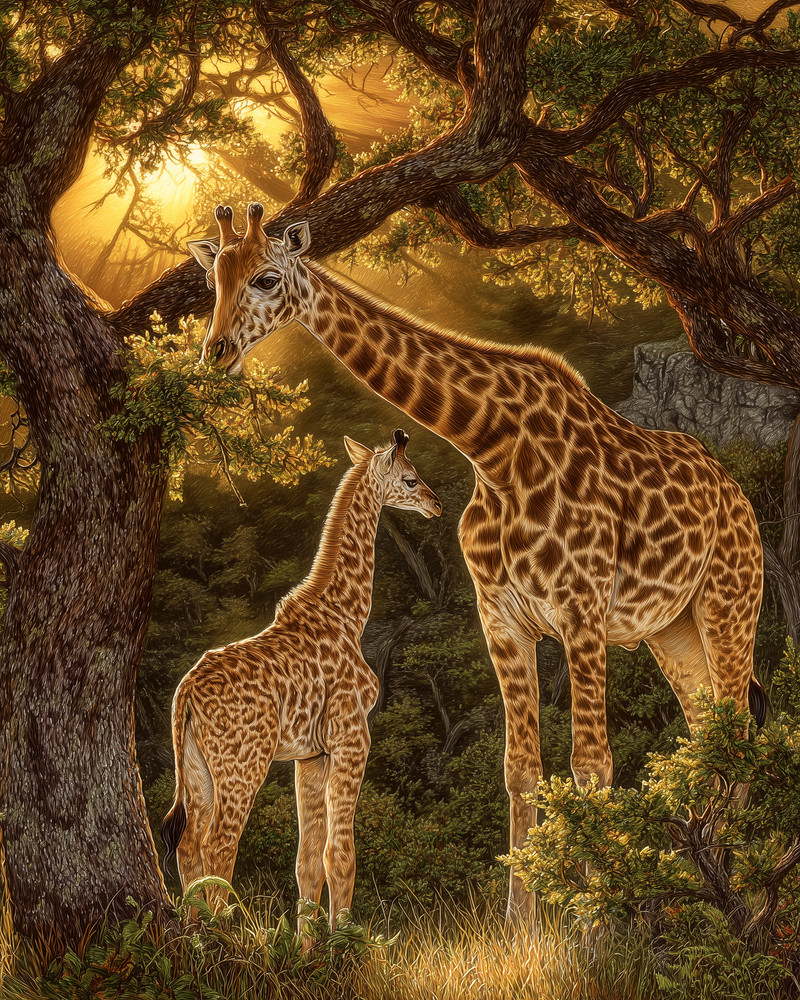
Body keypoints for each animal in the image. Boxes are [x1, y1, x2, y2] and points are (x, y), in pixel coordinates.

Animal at [160, 428, 442, 925]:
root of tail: (186, 693)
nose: (437, 504)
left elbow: (307, 861)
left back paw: (194, 933)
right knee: (219, 845)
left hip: (195, 767)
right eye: (410, 479)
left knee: (189, 844)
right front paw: (345, 938)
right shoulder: (352, 735)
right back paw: (222, 933)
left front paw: (312, 940)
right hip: (242, 766)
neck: (346, 614)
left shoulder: (310, 754)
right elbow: (341, 853)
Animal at [187, 202, 766, 921]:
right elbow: (520, 770)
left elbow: (592, 764)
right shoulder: (503, 619)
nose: (215, 352)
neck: (493, 447)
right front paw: (522, 924)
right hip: (672, 630)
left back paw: (737, 893)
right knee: (706, 729)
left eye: (266, 277)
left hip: (728, 603)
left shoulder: (580, 611)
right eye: (213, 279)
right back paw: (711, 882)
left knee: (739, 729)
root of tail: (739, 496)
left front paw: (593, 922)